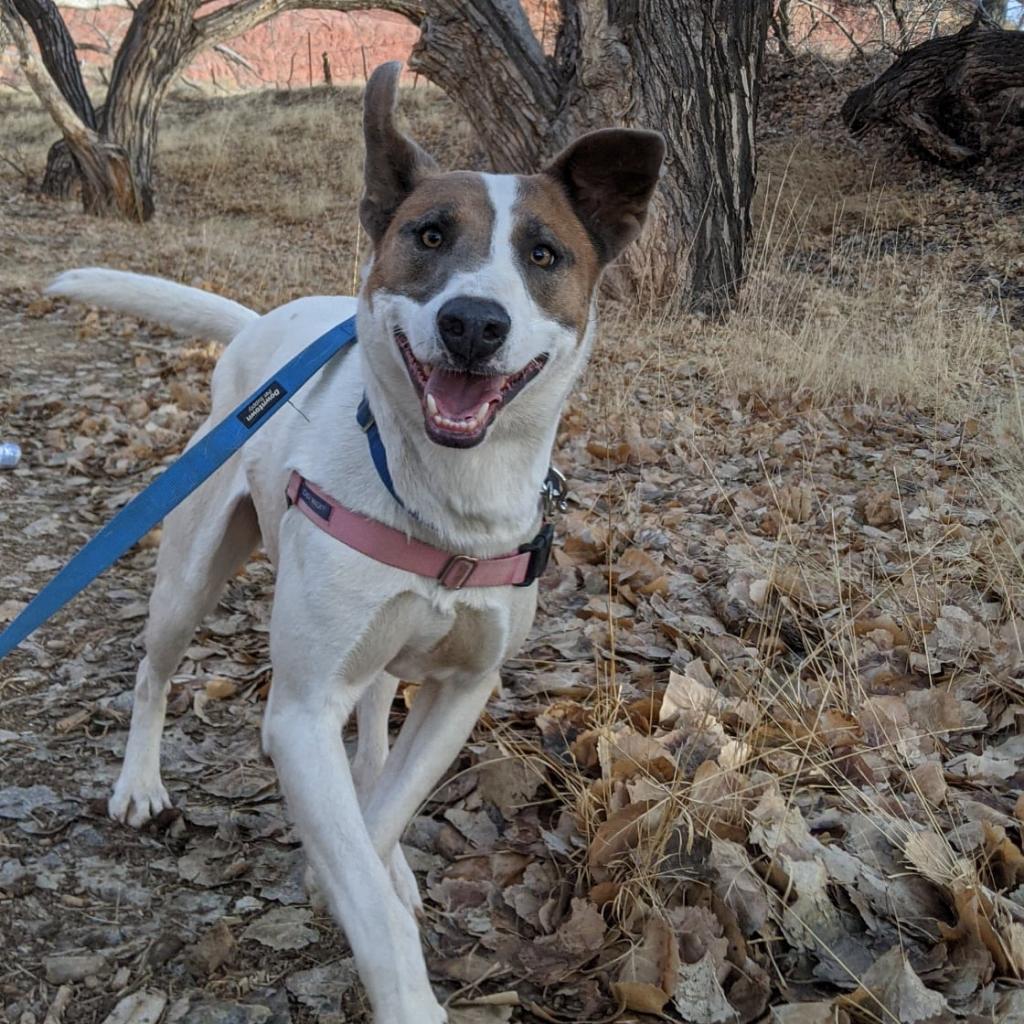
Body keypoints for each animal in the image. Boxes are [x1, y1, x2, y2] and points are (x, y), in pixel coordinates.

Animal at [48, 64, 663, 1024]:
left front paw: (364, 867)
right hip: (192, 570)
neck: (447, 502)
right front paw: (401, 983)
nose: (474, 323)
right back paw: (139, 783)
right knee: (155, 670)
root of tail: (264, 323)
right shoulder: (302, 710)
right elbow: (361, 878)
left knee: (375, 727)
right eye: (430, 234)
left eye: (545, 256)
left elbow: (382, 816)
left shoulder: (463, 690)